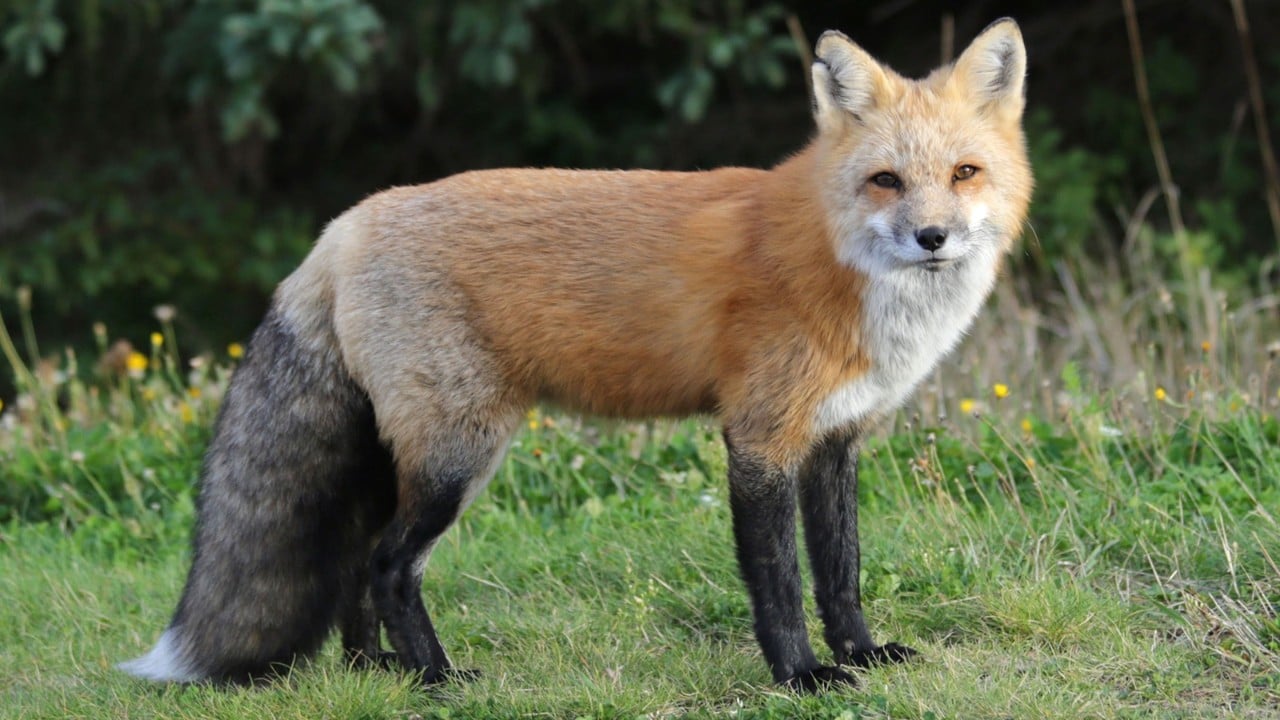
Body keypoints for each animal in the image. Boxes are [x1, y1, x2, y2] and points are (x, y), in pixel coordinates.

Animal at [122, 18, 1029, 691]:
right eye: (885, 181)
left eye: (964, 173)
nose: (932, 237)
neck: (839, 271)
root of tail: (344, 224)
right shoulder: (759, 437)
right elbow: (779, 580)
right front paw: (800, 676)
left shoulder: (834, 439)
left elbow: (841, 571)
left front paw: (862, 653)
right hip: (458, 455)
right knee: (387, 565)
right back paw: (435, 678)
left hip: (403, 455)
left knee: (353, 561)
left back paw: (373, 671)